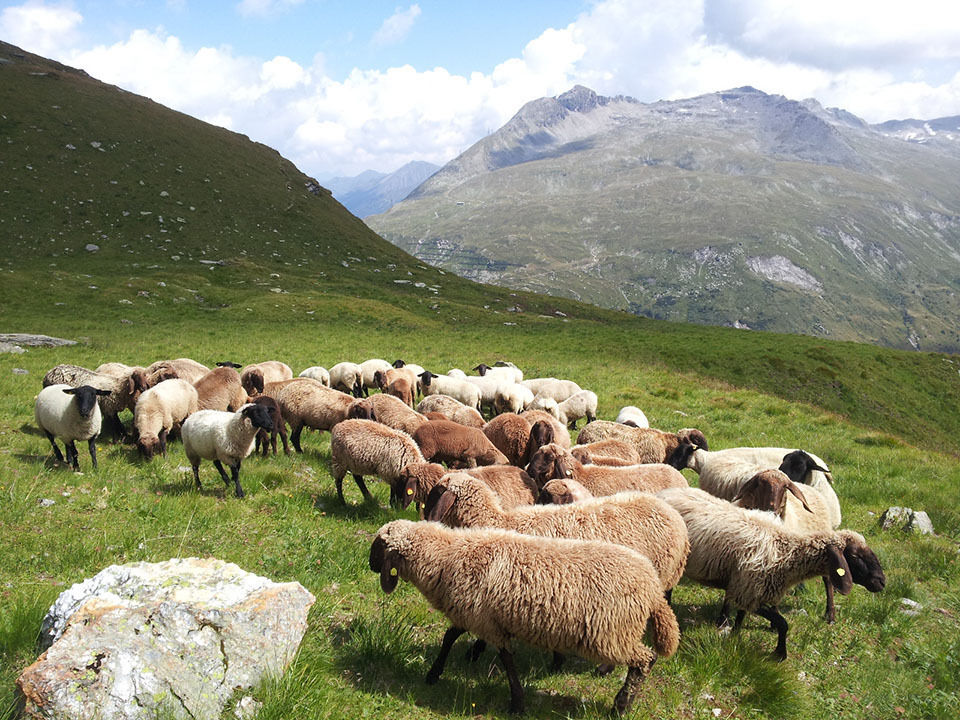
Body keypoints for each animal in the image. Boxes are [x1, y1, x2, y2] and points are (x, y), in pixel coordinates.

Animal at [372, 516, 680, 716]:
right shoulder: (478, 614)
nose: (370, 563)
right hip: (618, 633)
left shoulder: (487, 623)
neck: (447, 556)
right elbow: (451, 636)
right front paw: (434, 673)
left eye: (378, 545)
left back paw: (621, 705)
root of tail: (653, 589)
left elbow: (506, 660)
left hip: (611, 634)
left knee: (644, 660)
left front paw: (517, 703)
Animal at [656, 486, 880, 660]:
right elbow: (782, 623)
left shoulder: (747, 588)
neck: (786, 552)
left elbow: (741, 616)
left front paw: (735, 636)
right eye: (855, 556)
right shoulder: (750, 591)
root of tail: (665, 493)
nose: (882, 582)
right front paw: (779, 654)